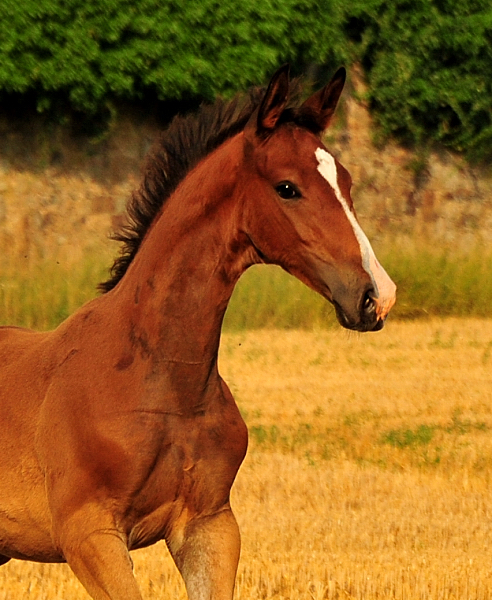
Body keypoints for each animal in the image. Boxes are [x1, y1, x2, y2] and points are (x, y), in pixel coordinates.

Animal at [0, 63, 396, 596]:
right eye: (286, 187)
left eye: (347, 182)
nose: (376, 295)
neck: (164, 381)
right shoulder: (89, 536)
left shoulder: (210, 525)